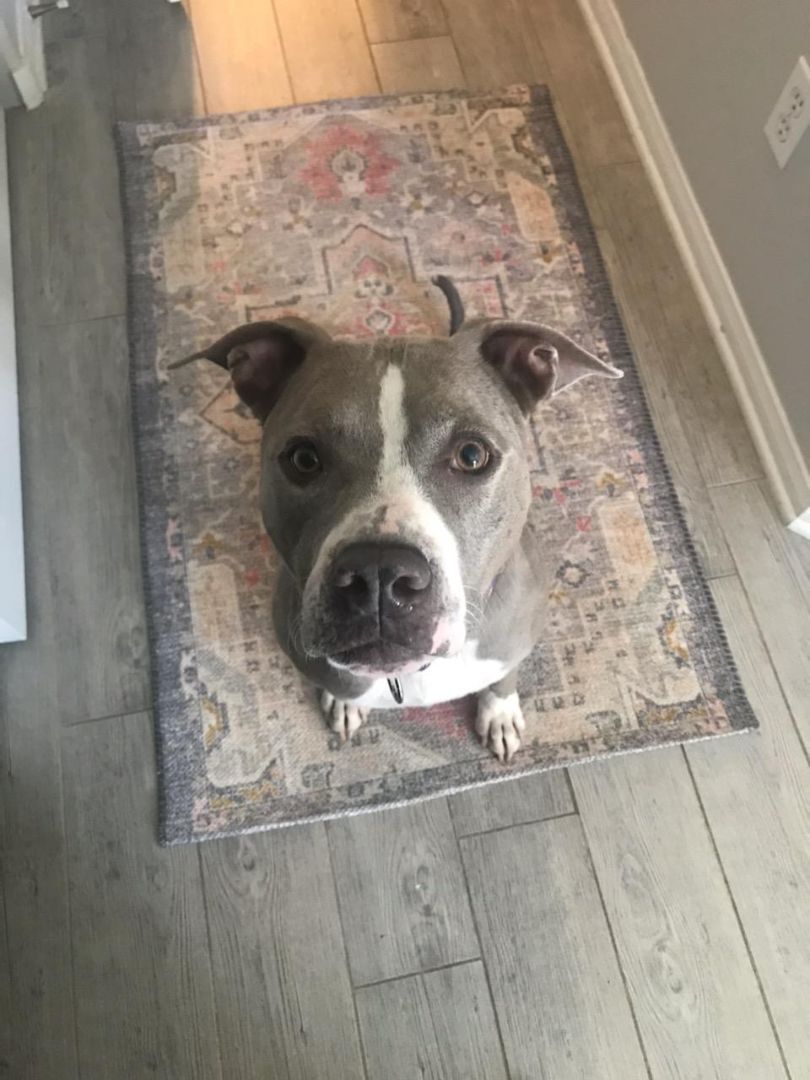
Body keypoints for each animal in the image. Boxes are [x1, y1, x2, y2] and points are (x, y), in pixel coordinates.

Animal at [173, 279, 621, 761]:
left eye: (472, 455)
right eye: (303, 458)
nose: (378, 573)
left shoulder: (513, 642)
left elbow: (504, 677)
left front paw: (499, 713)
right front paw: (343, 702)